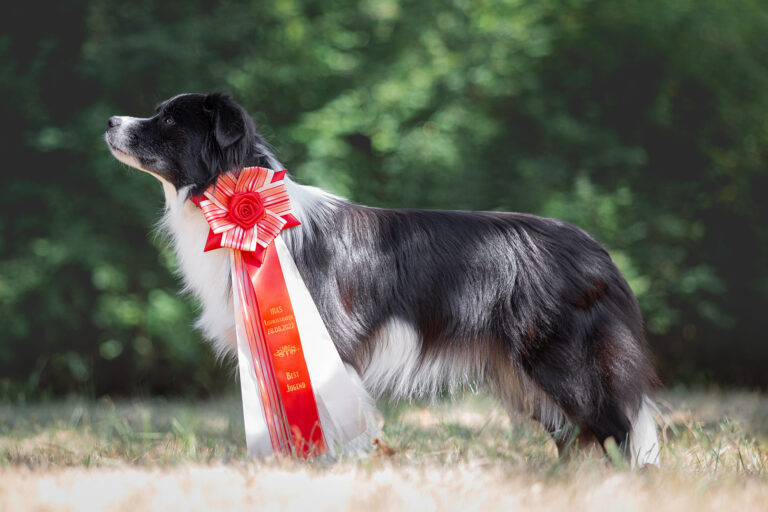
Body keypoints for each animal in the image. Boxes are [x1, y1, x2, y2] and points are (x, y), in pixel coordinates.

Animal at [106, 93, 660, 468]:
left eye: (169, 119)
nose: (110, 120)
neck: (250, 209)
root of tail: (599, 252)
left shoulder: (328, 339)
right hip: (523, 374)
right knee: (574, 435)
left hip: (563, 360)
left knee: (616, 428)